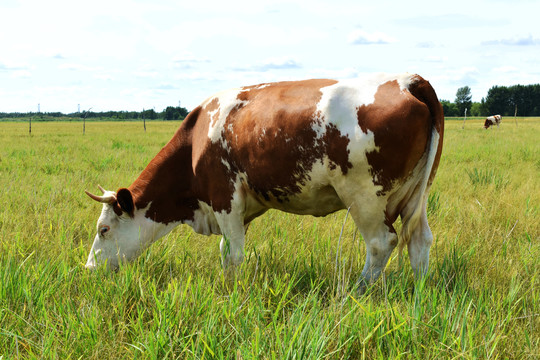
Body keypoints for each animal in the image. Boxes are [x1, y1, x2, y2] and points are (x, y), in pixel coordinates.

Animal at [86, 72, 446, 290]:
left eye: (104, 230)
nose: (89, 269)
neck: (197, 139)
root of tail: (405, 80)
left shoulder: (224, 198)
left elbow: (233, 254)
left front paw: (230, 290)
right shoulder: (241, 208)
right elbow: (226, 250)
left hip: (365, 196)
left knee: (381, 242)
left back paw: (356, 292)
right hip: (417, 193)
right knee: (420, 241)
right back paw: (419, 291)